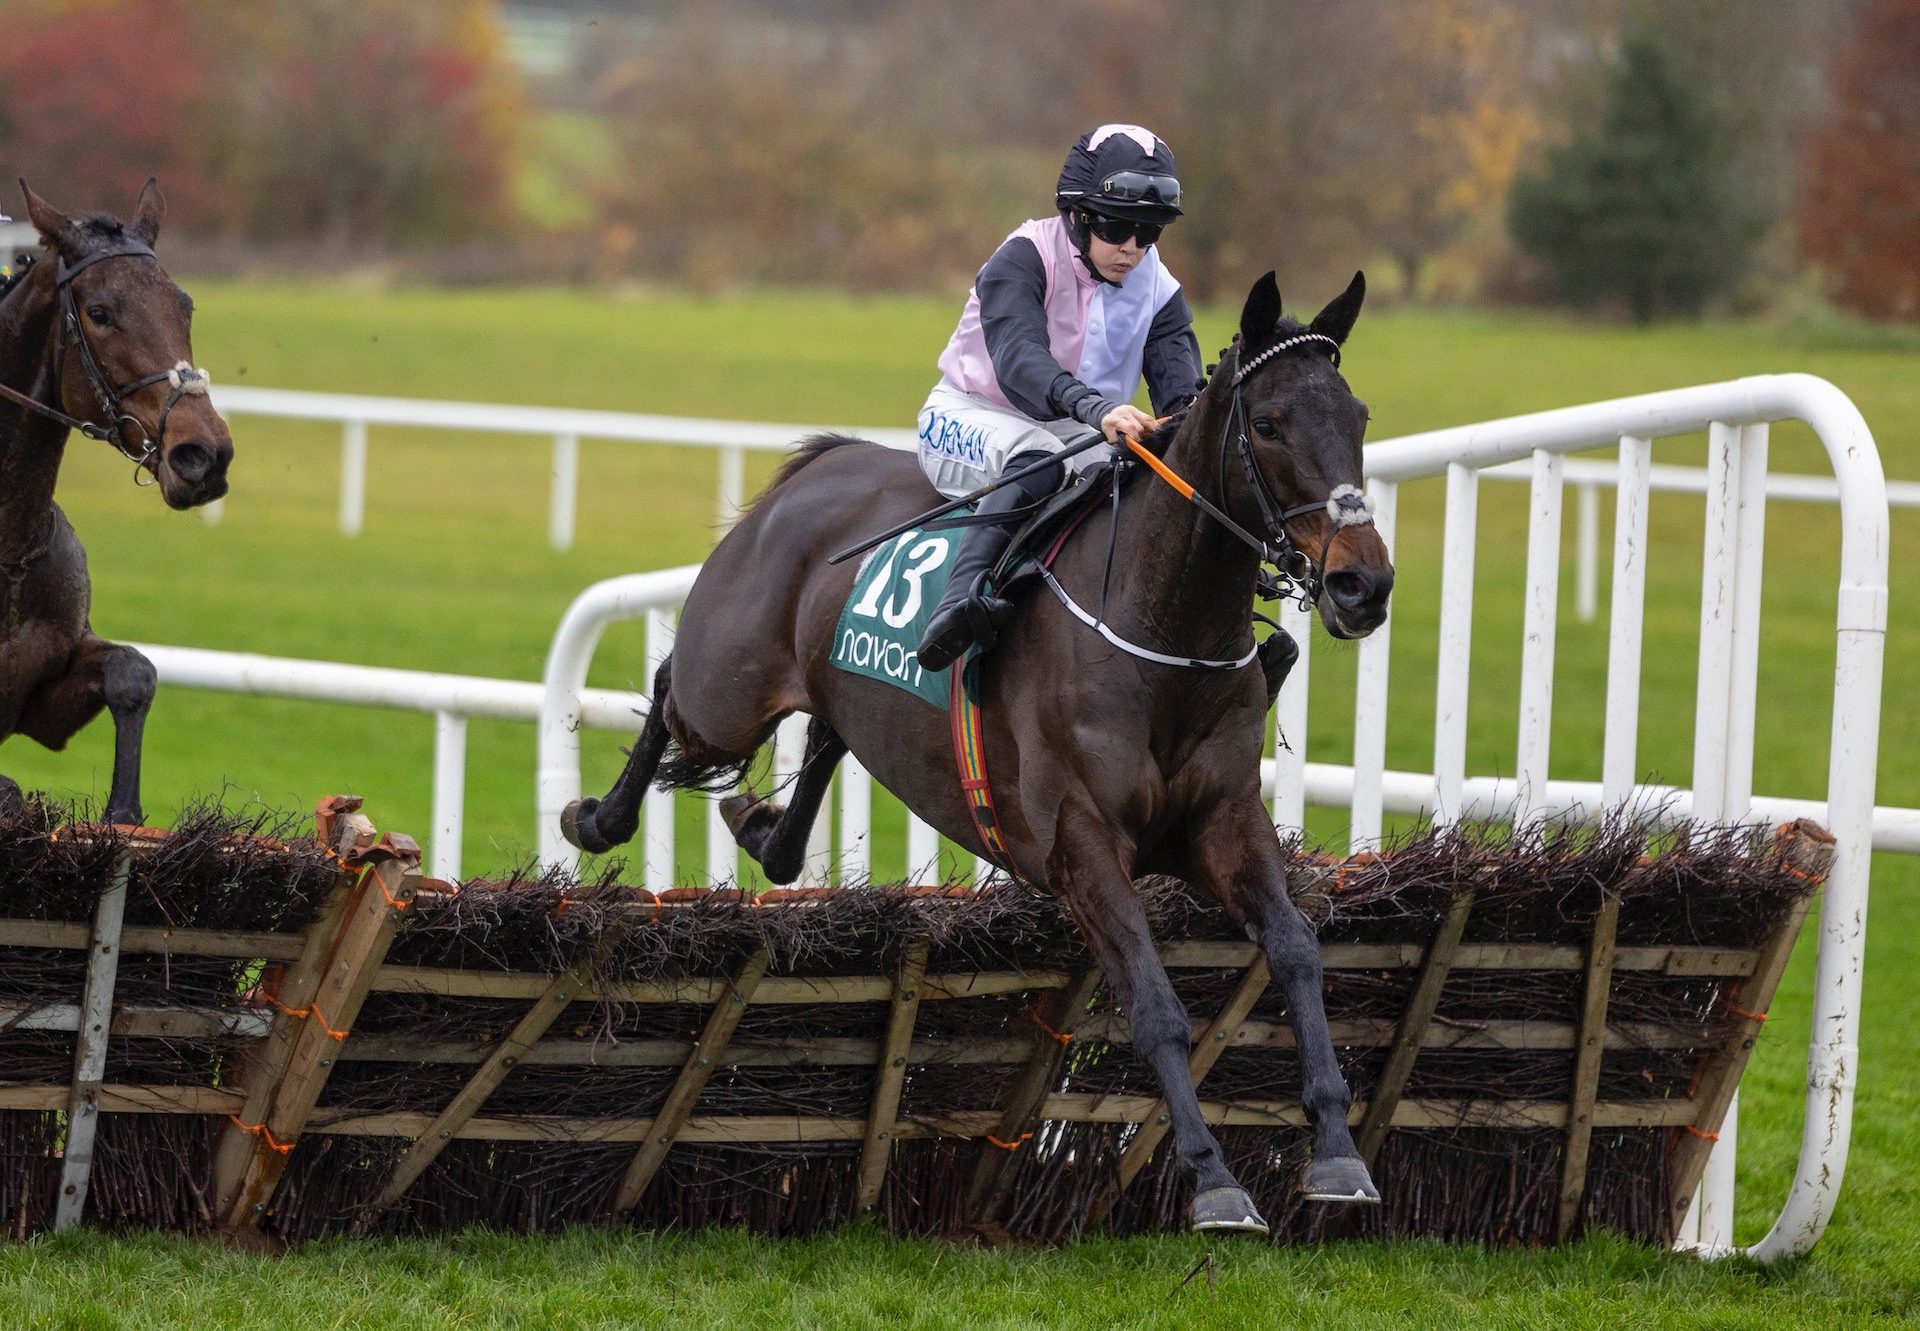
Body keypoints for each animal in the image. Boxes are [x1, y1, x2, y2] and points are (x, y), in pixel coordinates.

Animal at [0, 176, 231, 822]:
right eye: (100, 313)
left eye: (185, 305)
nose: (203, 455)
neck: (10, 552)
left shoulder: (38, 701)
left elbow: (134, 671)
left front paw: (122, 811)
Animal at [568, 272, 1397, 1236]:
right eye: (1267, 422)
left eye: (1359, 415)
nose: (1362, 584)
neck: (1160, 628)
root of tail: (819, 468)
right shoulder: (1081, 845)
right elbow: (1154, 1003)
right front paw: (1212, 1178)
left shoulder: (1222, 823)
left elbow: (1297, 949)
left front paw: (1338, 1151)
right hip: (726, 691)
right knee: (671, 687)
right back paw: (595, 817)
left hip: (830, 690)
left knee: (824, 736)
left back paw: (763, 829)